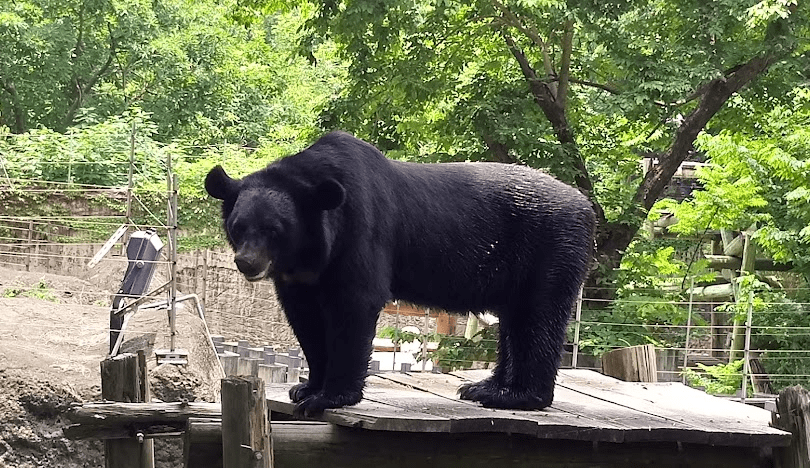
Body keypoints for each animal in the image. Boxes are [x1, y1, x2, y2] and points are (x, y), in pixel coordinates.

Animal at [204, 130, 592, 414]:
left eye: (274, 230)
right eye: (239, 227)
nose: (247, 263)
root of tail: (587, 207)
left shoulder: (361, 230)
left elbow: (355, 302)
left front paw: (328, 397)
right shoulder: (299, 278)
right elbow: (306, 320)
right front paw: (305, 387)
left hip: (550, 249)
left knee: (538, 317)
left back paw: (518, 396)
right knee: (514, 322)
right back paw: (485, 387)